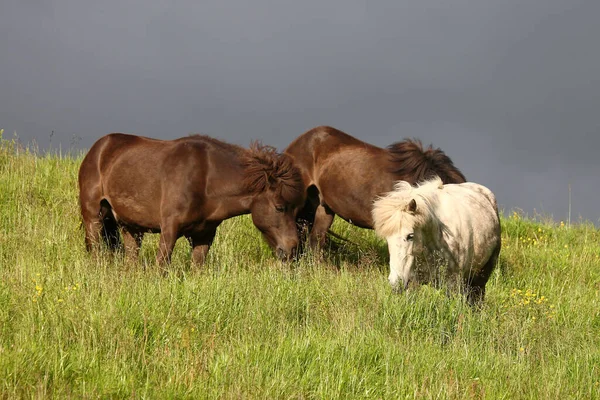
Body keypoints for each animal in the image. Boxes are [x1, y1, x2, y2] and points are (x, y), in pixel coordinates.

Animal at [78, 134, 304, 266]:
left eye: (297, 210)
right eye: (280, 207)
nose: (293, 250)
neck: (206, 178)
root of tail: (98, 148)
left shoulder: (204, 235)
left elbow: (197, 265)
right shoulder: (169, 229)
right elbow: (162, 266)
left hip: (130, 227)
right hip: (94, 218)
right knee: (96, 250)